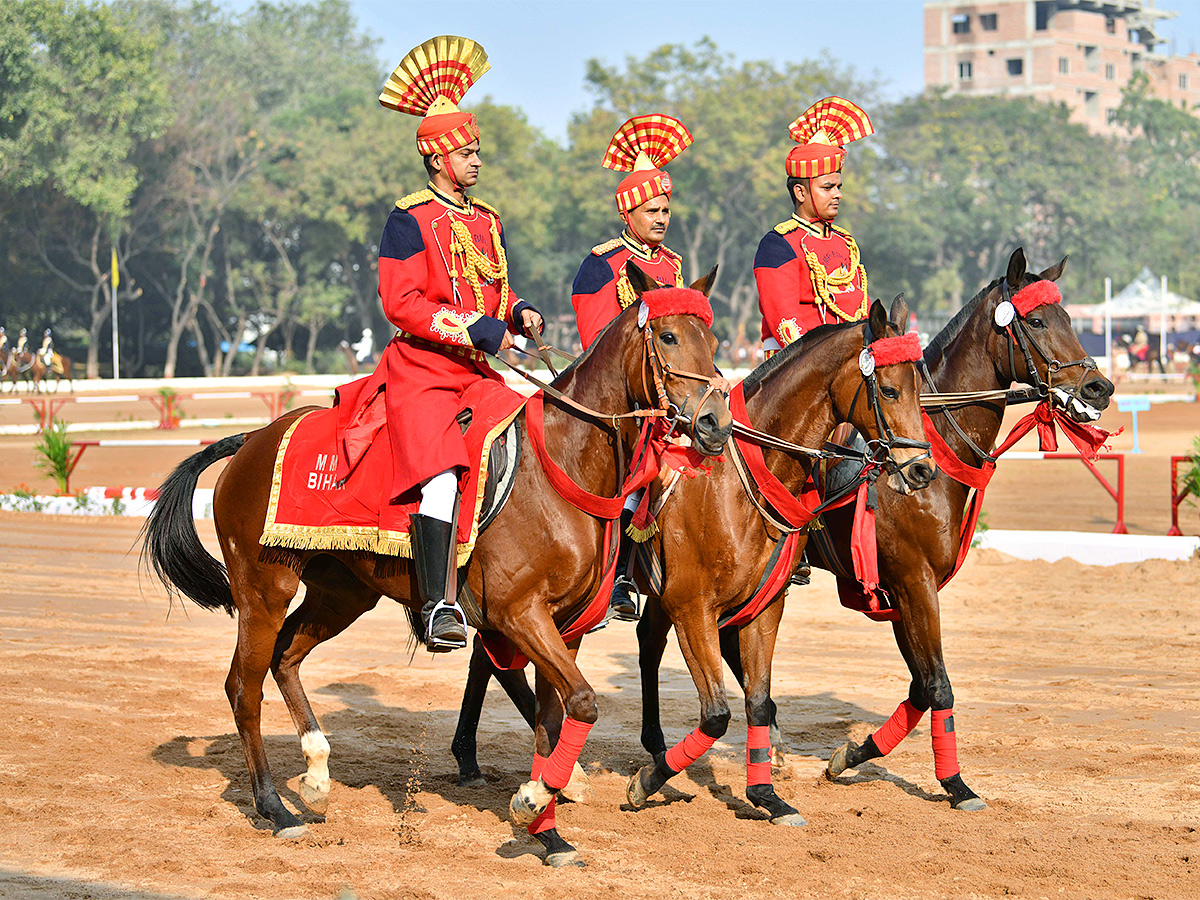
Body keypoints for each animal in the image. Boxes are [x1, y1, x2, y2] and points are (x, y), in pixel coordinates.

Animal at [145, 266, 734, 868]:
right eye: (668, 337)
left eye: (713, 342)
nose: (716, 423)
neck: (560, 466)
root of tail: (253, 439)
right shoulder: (519, 613)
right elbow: (584, 704)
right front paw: (533, 799)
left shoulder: (563, 627)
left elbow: (557, 718)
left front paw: (548, 831)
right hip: (263, 588)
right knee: (244, 686)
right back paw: (274, 807)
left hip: (342, 595)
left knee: (285, 658)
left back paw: (315, 774)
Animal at [648, 248, 1113, 816]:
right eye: (1039, 320)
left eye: (1070, 317)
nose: (1099, 387)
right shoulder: (913, 581)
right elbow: (937, 686)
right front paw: (956, 784)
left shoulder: (902, 592)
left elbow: (920, 686)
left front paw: (852, 755)